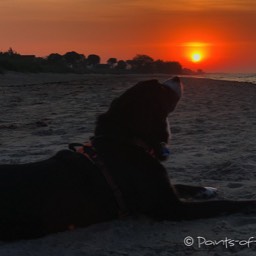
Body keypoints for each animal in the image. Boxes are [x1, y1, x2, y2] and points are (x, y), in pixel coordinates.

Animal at [0, 76, 256, 240]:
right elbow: (224, 204)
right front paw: (249, 203)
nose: (177, 75)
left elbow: (181, 184)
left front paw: (205, 189)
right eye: (158, 87)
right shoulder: (169, 207)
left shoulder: (162, 186)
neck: (129, 140)